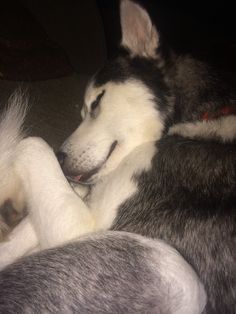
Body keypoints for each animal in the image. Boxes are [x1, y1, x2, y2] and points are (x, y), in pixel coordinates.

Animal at [0, 0, 236, 314]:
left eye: (97, 102)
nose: (60, 158)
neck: (198, 120)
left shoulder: (85, 228)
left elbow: (31, 143)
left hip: (170, 265)